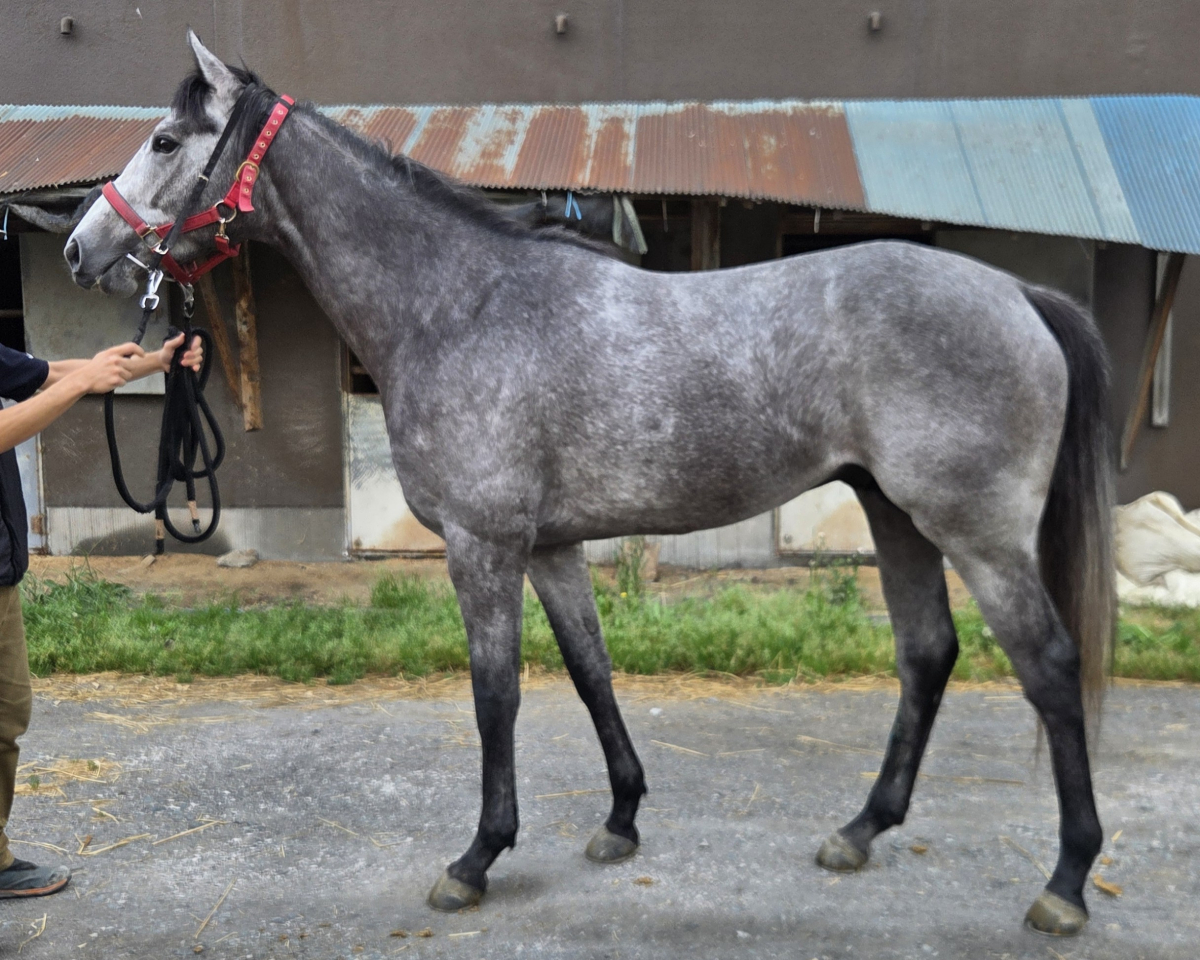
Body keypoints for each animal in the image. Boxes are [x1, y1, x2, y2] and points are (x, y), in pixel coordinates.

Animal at [64, 31, 1114, 936]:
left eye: (166, 140)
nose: (81, 249)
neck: (459, 306)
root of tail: (1020, 293)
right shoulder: (553, 547)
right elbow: (589, 669)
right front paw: (620, 820)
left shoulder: (484, 547)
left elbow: (496, 694)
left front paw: (477, 858)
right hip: (895, 513)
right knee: (927, 654)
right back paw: (859, 832)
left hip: (975, 531)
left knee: (1047, 667)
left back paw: (1066, 883)